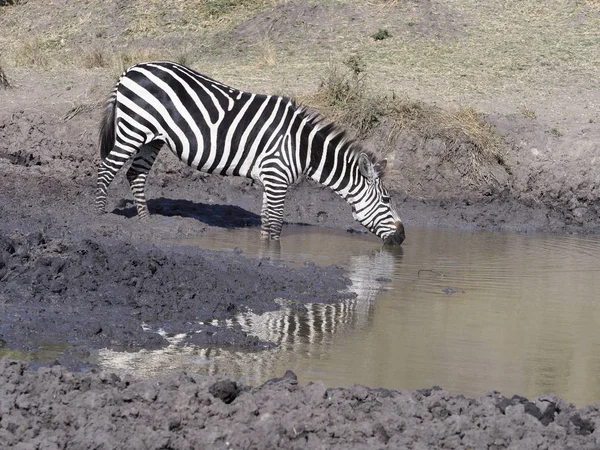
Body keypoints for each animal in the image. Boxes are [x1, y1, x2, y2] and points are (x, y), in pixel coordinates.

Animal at [96, 61, 406, 244]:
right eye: (387, 199)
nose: (403, 237)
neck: (303, 149)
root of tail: (131, 69)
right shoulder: (278, 177)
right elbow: (276, 225)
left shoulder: (271, 180)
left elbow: (267, 222)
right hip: (133, 128)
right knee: (106, 169)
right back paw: (101, 216)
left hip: (152, 137)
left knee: (135, 174)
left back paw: (145, 220)